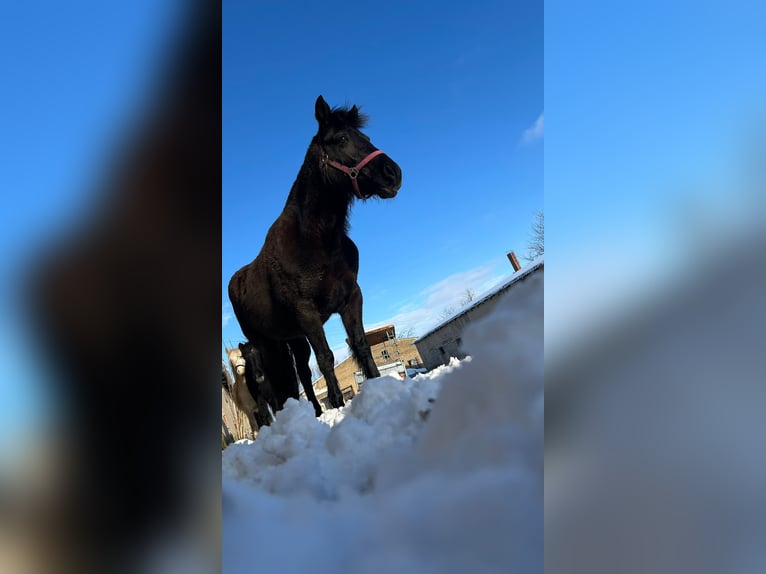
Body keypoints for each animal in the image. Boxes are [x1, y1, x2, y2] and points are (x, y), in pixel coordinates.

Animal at [231, 98, 404, 414]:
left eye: (366, 137)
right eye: (342, 139)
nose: (393, 173)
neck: (316, 242)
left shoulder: (351, 298)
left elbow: (361, 345)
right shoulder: (307, 314)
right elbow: (325, 358)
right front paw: (337, 405)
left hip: (293, 339)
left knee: (299, 372)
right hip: (265, 343)